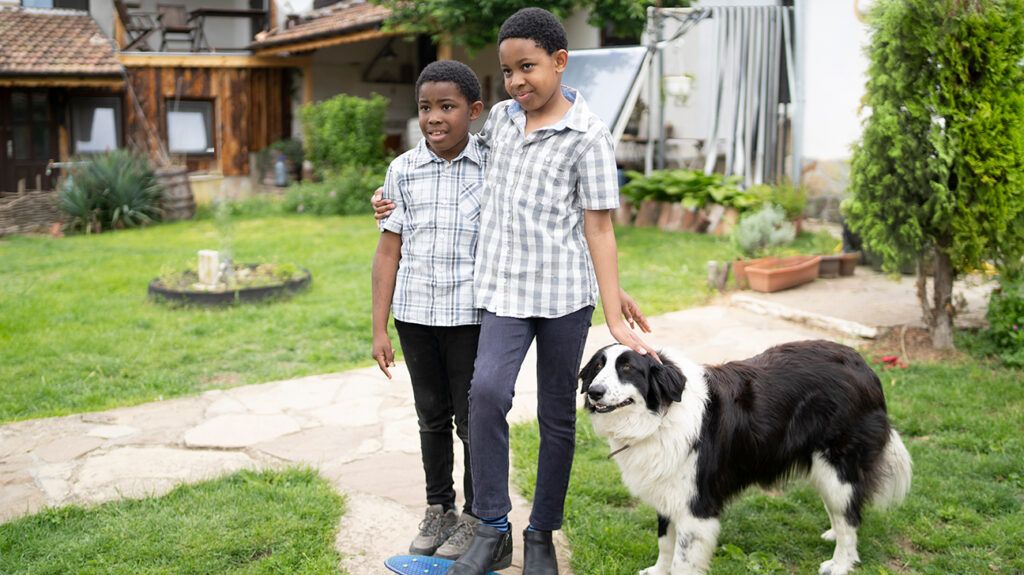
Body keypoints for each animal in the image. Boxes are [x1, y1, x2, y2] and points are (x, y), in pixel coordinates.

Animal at [581, 339, 909, 572]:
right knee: (843, 511)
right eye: (597, 367)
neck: (661, 417)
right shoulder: (667, 488)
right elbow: (665, 542)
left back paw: (840, 563)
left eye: (627, 368)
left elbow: (682, 558)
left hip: (839, 465)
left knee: (850, 516)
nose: (594, 392)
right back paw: (832, 533)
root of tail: (863, 364)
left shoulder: (696, 505)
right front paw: (658, 570)